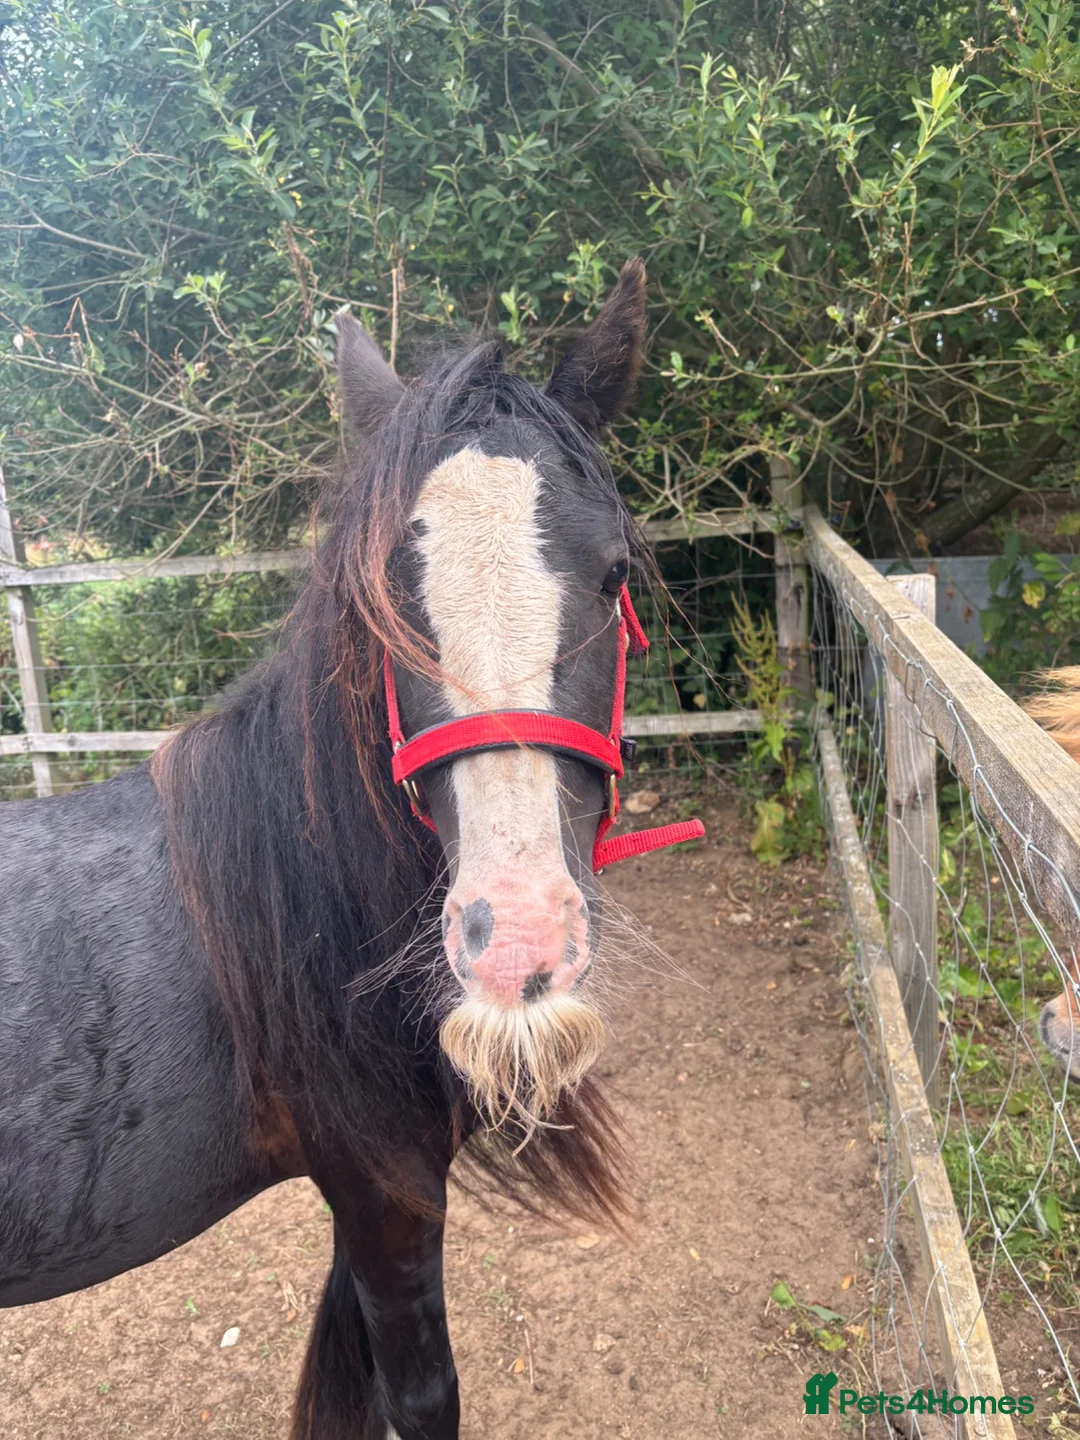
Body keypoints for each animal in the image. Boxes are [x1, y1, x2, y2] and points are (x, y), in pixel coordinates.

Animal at [0, 259, 702, 1440]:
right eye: (381, 602)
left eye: (614, 575)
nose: (517, 941)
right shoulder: (387, 1197)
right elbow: (417, 1397)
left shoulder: (367, 1200)